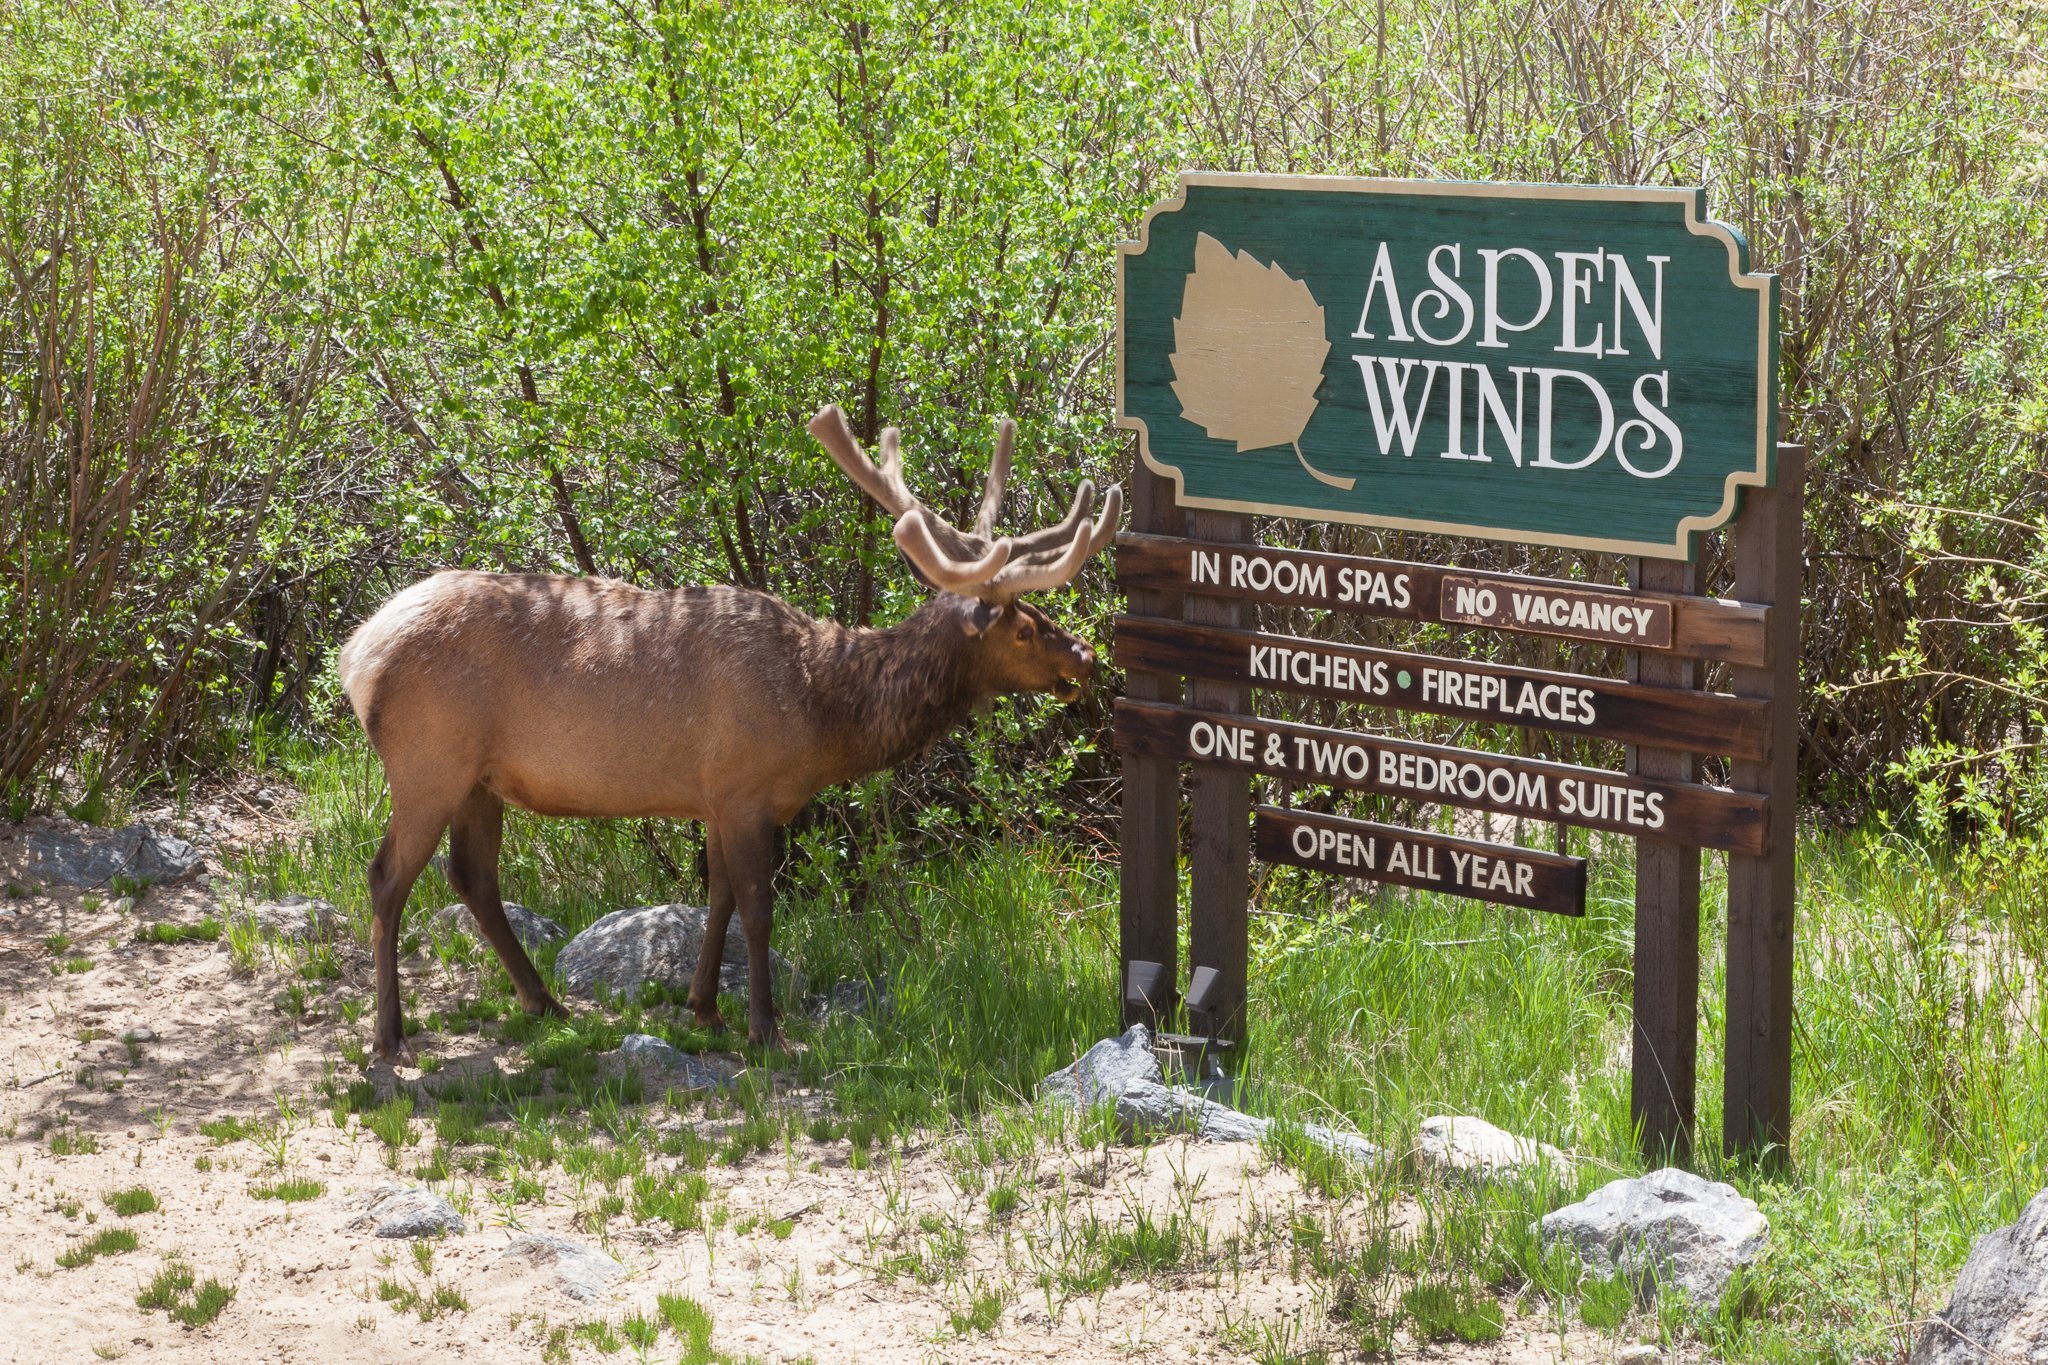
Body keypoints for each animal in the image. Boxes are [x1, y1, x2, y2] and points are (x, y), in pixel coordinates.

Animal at [344, 405, 1130, 1055]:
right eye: (1024, 627)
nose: (1086, 657)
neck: (820, 715)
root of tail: (356, 656)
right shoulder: (746, 787)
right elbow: (757, 908)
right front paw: (766, 1028)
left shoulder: (715, 795)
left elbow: (716, 896)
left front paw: (704, 1009)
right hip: (428, 761)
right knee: (387, 877)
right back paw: (390, 1036)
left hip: (479, 778)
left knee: (472, 876)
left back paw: (545, 1003)